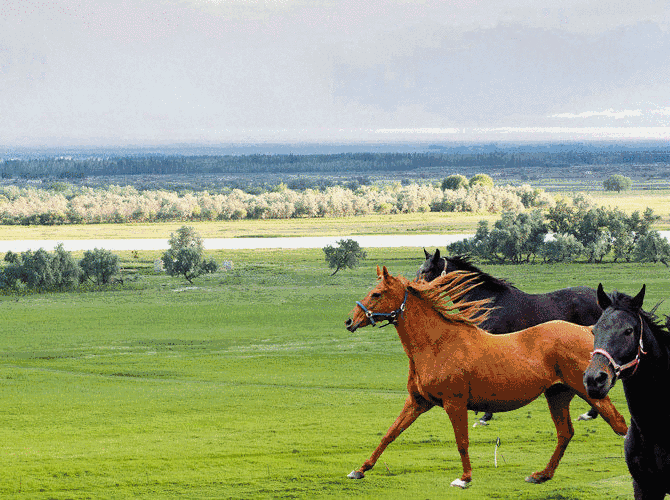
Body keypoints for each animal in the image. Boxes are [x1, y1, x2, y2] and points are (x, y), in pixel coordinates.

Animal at [345, 267, 628, 488]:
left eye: (376, 293)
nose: (350, 321)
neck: (437, 344)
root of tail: (589, 331)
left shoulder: (455, 403)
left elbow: (461, 442)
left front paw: (464, 478)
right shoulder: (417, 402)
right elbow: (390, 434)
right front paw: (360, 469)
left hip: (589, 393)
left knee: (621, 426)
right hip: (557, 395)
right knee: (565, 434)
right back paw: (541, 475)